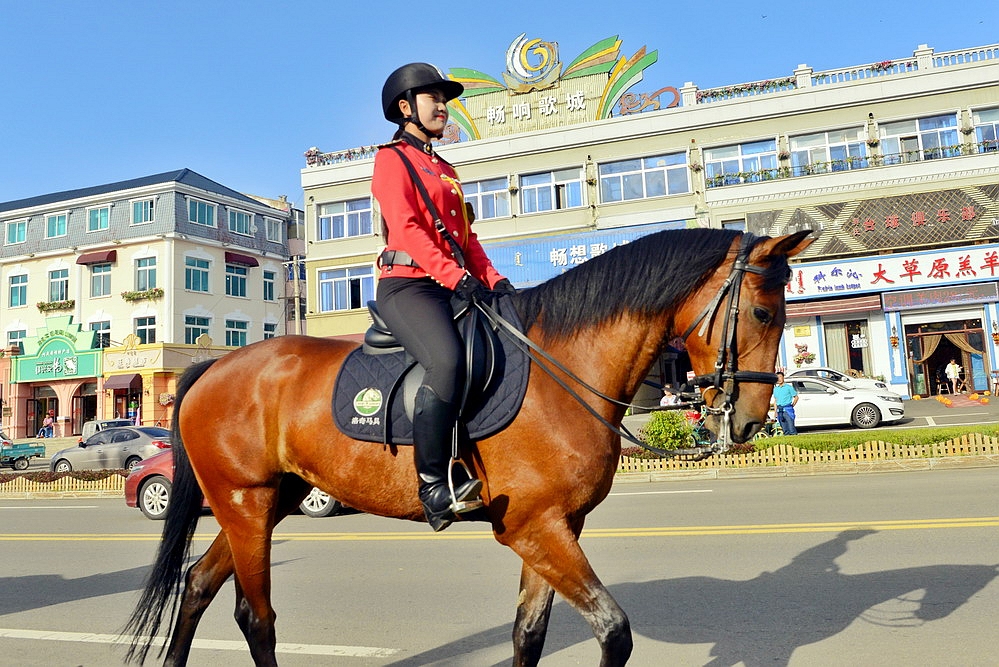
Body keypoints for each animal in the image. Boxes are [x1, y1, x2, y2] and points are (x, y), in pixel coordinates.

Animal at [125, 227, 812, 664]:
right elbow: (614, 632)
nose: (751, 421)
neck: (562, 366)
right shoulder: (534, 528)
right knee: (257, 618)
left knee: (198, 589)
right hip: (245, 503)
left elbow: (529, 634)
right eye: (761, 313)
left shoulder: (556, 526)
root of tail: (213, 366)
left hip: (263, 504)